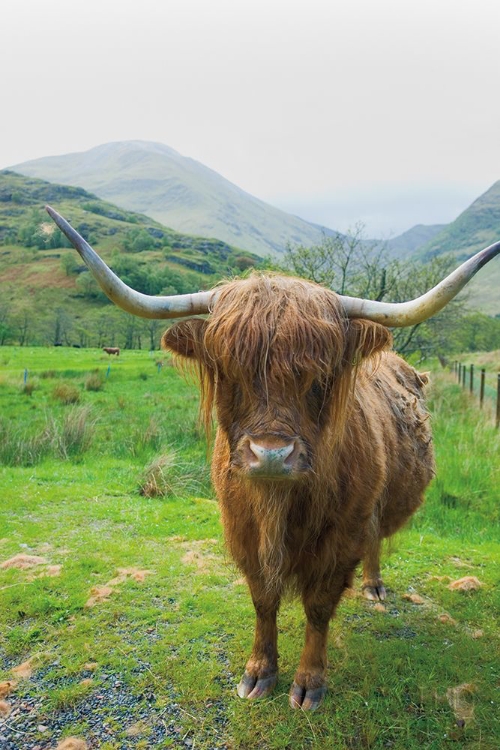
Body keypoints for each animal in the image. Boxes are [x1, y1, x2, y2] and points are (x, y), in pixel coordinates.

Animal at [45, 207, 498, 712]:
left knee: (376, 540)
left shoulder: (341, 537)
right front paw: (259, 671)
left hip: (375, 509)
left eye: (319, 376)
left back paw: (374, 586)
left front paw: (308, 682)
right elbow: (263, 599)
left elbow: (319, 607)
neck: (279, 505)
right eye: (228, 370)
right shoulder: (241, 529)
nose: (272, 455)